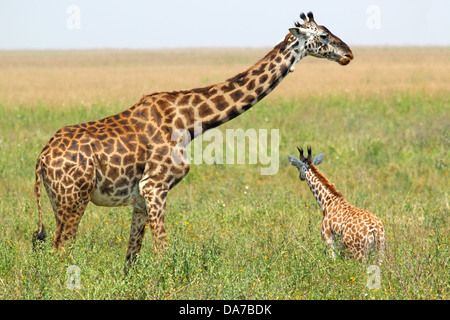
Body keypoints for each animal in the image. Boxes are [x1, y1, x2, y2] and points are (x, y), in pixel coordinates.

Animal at [33, 11, 354, 268]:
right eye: (323, 35)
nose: (348, 53)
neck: (188, 121)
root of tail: (42, 159)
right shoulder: (155, 187)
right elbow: (162, 253)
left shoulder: (139, 198)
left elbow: (131, 258)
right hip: (74, 198)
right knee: (60, 248)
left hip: (58, 200)